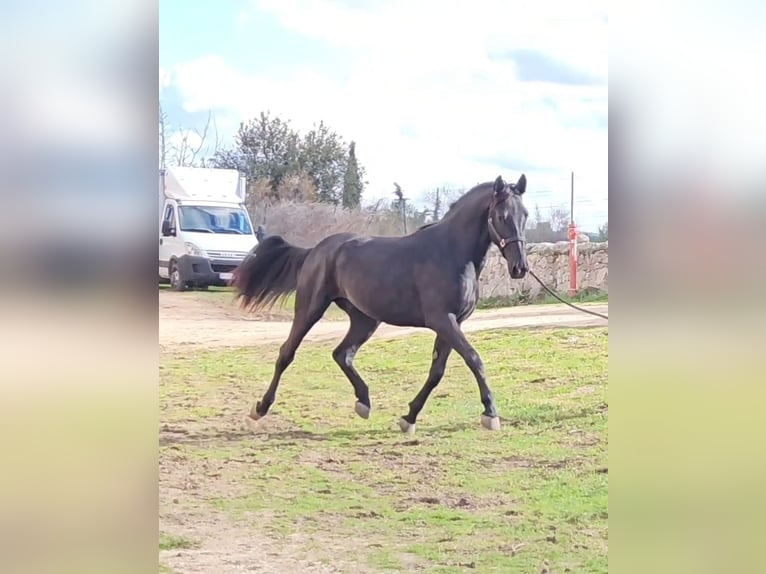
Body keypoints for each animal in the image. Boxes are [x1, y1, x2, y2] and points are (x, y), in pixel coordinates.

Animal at [234, 173, 532, 434]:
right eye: (502, 216)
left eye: (525, 215)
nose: (520, 268)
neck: (452, 254)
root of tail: (315, 250)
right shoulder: (442, 320)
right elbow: (474, 359)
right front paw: (490, 414)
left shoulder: (452, 323)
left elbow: (437, 372)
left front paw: (409, 418)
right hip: (310, 309)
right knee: (287, 352)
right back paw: (260, 409)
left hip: (365, 319)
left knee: (342, 354)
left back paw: (364, 403)